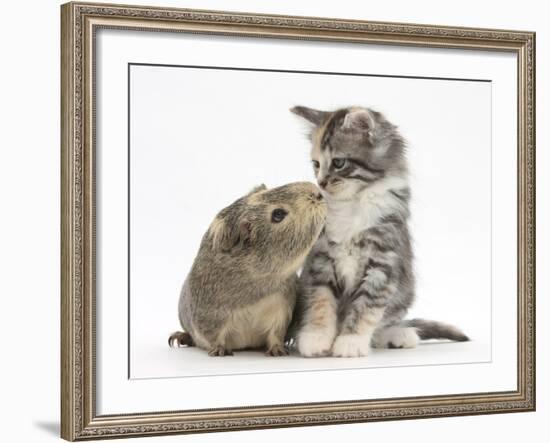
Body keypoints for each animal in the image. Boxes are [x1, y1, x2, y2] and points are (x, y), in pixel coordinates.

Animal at [292, 106, 468, 360]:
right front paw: (316, 338)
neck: (353, 202)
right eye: (316, 164)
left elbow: (366, 307)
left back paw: (400, 335)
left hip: (404, 294)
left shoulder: (383, 262)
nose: (321, 182)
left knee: (384, 324)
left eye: (338, 163)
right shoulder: (321, 260)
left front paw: (350, 342)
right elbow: (320, 301)